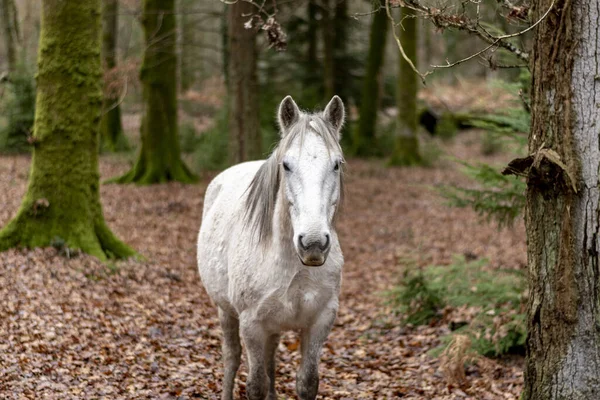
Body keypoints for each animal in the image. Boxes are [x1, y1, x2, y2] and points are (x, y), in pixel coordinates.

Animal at [198, 95, 344, 398]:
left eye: (336, 164)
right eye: (286, 165)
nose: (313, 243)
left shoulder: (320, 322)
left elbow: (306, 382)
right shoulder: (252, 325)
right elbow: (256, 384)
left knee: (271, 359)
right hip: (225, 311)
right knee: (231, 358)